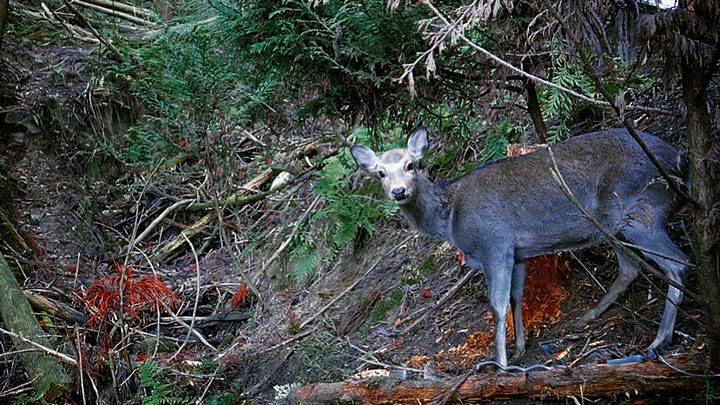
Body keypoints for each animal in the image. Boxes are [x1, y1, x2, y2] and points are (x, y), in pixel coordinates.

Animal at [352, 126, 688, 366]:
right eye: (381, 173)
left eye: (411, 165)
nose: (398, 191)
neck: (451, 217)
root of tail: (679, 159)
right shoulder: (518, 254)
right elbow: (516, 297)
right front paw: (519, 349)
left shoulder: (495, 245)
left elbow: (497, 306)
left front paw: (499, 363)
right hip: (614, 225)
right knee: (631, 267)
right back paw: (588, 317)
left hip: (640, 211)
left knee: (678, 263)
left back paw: (659, 340)